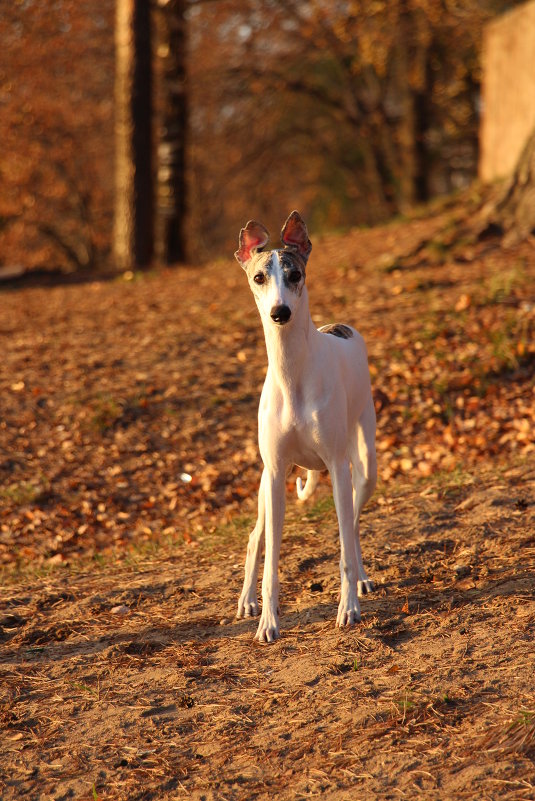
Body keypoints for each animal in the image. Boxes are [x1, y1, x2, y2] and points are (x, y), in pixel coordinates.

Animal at [234, 209, 376, 640]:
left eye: (294, 274)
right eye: (259, 277)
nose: (280, 313)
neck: (292, 371)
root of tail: (338, 326)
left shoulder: (338, 467)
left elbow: (344, 547)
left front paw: (349, 609)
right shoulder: (276, 472)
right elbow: (270, 560)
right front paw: (267, 621)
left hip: (362, 468)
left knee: (353, 529)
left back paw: (361, 579)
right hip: (267, 486)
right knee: (255, 537)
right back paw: (245, 600)